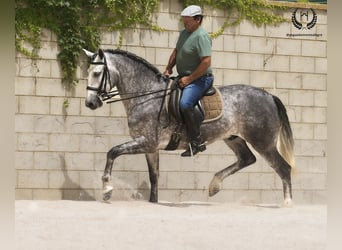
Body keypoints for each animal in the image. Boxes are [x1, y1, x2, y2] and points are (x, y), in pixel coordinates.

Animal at [82, 47, 294, 206]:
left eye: (97, 73)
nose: (90, 103)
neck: (147, 95)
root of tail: (269, 96)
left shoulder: (146, 142)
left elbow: (113, 152)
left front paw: (107, 190)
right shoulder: (151, 147)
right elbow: (154, 176)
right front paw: (153, 202)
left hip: (263, 142)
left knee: (283, 168)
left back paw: (288, 203)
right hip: (233, 138)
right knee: (247, 159)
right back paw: (214, 186)